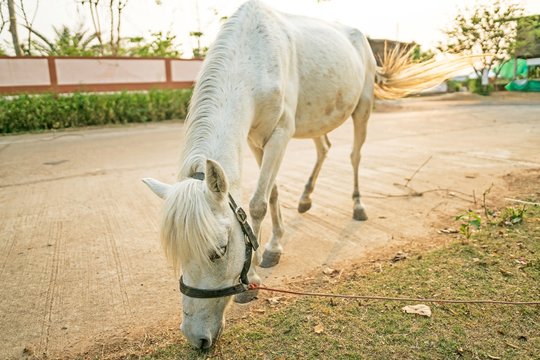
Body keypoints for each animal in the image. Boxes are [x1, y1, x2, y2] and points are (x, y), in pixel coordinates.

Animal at [143, 0, 472, 348]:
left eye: (219, 251)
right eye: (177, 254)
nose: (197, 338)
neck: (253, 56)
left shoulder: (279, 134)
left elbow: (258, 202)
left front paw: (257, 271)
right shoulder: (256, 139)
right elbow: (271, 192)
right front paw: (274, 245)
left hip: (363, 108)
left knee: (354, 155)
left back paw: (358, 205)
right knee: (324, 148)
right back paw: (305, 199)